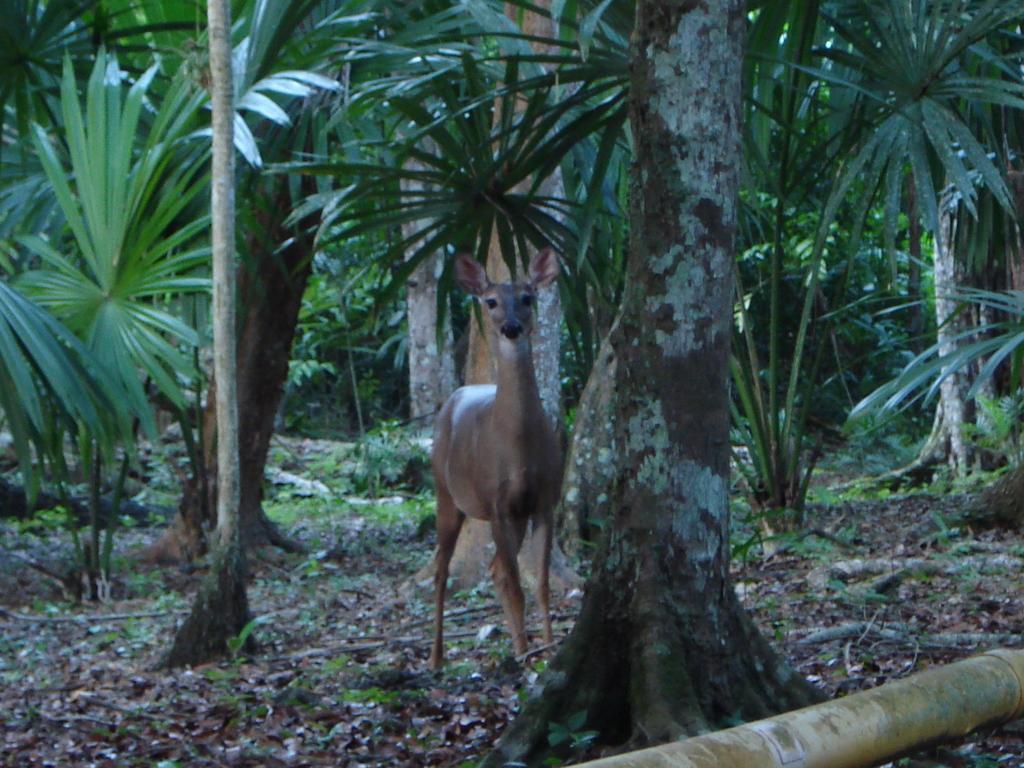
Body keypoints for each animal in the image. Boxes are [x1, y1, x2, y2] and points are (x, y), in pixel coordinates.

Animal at [428, 249, 565, 671]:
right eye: (490, 301)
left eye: (527, 297)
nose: (511, 327)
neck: (517, 448)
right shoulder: (496, 502)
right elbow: (517, 584)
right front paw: (528, 656)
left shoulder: (543, 501)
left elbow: (540, 584)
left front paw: (546, 650)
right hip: (445, 492)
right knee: (441, 570)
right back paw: (436, 657)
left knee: (494, 571)